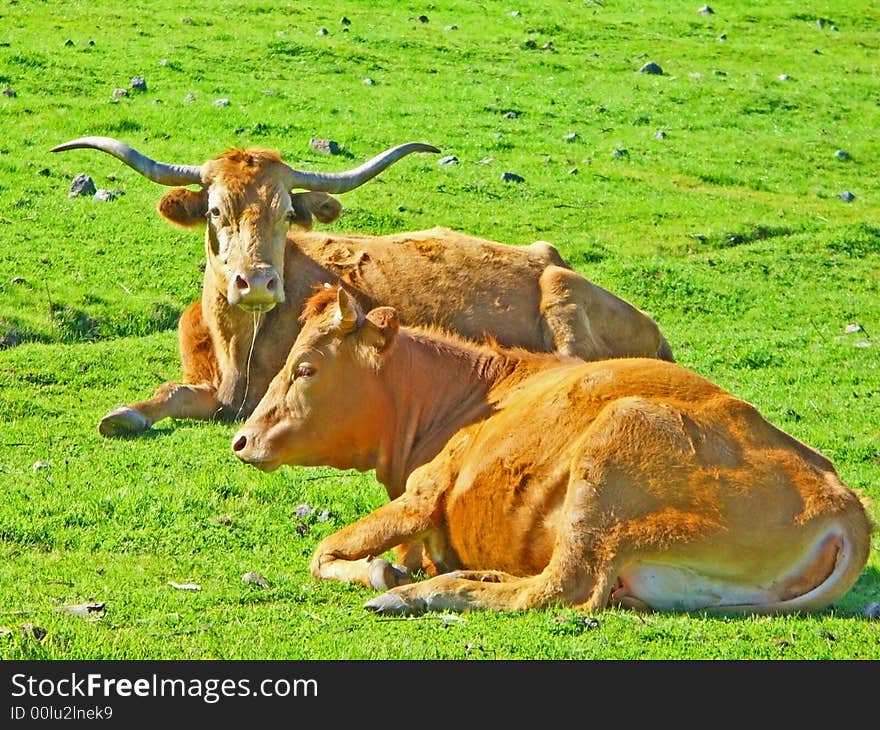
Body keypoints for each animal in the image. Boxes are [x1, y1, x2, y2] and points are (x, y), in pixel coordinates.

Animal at [55, 138, 672, 444]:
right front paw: (124, 414)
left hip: (562, 297)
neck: (235, 348)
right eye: (214, 211)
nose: (257, 281)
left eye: (286, 213)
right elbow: (171, 393)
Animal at [232, 286, 872, 616]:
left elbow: (325, 553)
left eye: (305, 367)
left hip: (611, 458)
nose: (241, 439)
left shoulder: (422, 494)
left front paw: (381, 571)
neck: (466, 395)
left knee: (559, 588)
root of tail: (843, 502)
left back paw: (420, 594)